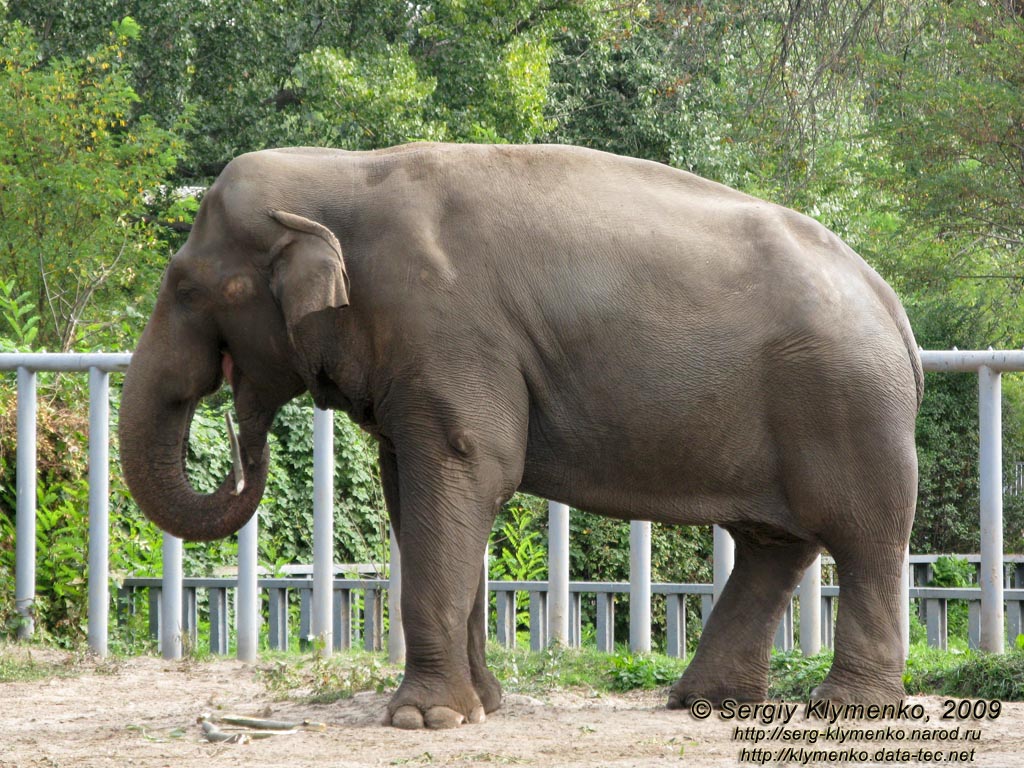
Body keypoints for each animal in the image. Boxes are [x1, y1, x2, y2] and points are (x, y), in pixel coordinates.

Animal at [117, 143, 921, 729]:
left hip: (848, 403)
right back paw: (705, 703)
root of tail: (891, 302)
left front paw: (423, 721)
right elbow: (420, 495)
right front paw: (482, 707)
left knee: (863, 537)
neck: (344, 169)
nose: (238, 424)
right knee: (774, 546)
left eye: (186, 288)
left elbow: (466, 470)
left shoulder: (449, 334)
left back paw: (844, 708)